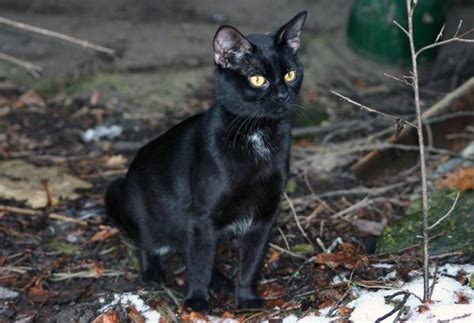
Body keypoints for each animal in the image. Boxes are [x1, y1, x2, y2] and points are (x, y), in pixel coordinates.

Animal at [104, 10, 308, 314]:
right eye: (257, 80)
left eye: (290, 74)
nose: (283, 95)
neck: (257, 134)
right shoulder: (202, 216)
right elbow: (199, 262)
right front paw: (197, 301)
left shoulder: (265, 215)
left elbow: (251, 262)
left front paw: (246, 298)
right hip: (136, 204)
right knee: (148, 241)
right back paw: (154, 272)